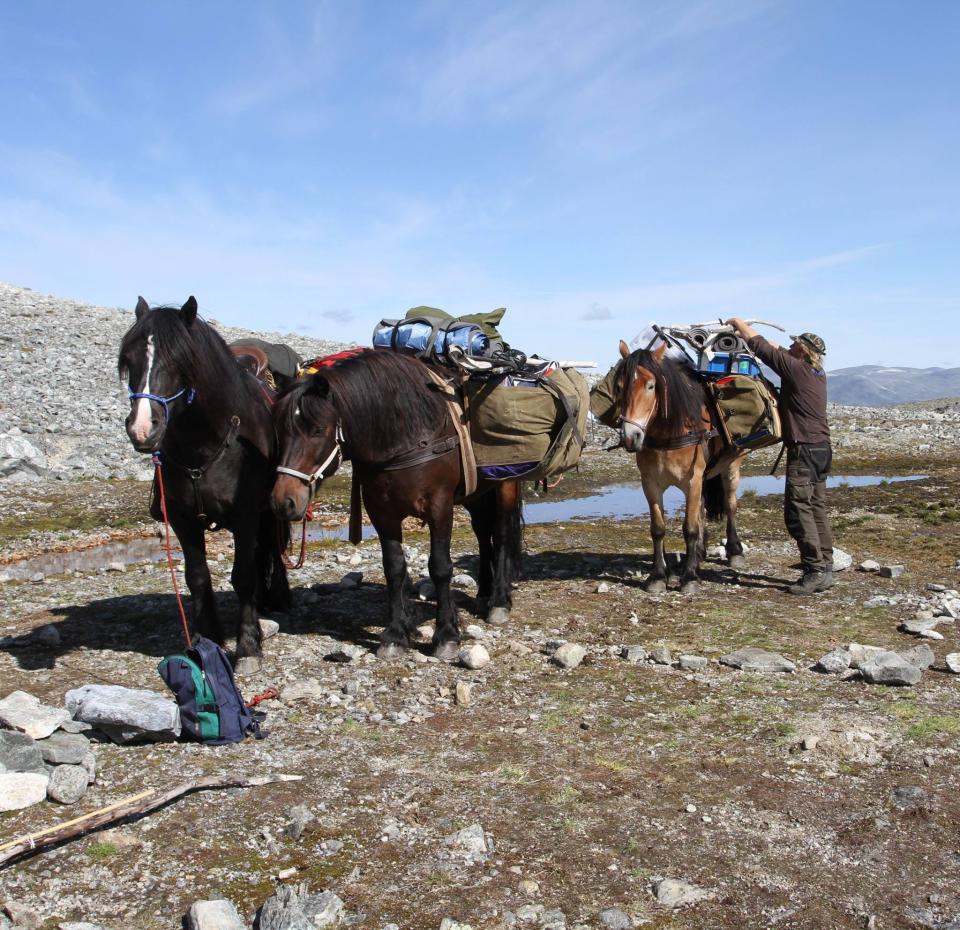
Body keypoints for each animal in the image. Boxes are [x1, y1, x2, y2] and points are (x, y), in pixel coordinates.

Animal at [117, 296, 288, 668]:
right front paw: (208, 637)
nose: (142, 429)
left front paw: (248, 646)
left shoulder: (245, 516)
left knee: (270, 545)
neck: (204, 447)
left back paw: (278, 596)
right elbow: (197, 577)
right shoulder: (182, 520)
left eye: (181, 361)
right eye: (130, 360)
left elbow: (243, 575)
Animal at [270, 348, 524, 660]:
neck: (406, 437)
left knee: (501, 534)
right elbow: (394, 568)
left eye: (318, 430)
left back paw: (499, 601)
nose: (284, 502)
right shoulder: (381, 512)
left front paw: (446, 635)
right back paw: (485, 592)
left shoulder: (440, 506)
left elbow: (440, 566)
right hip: (475, 495)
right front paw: (395, 634)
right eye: (279, 430)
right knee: (482, 532)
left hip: (505, 485)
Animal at [608, 340, 752, 596]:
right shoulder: (650, 484)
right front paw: (658, 576)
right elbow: (658, 528)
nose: (630, 436)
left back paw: (734, 551)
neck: (668, 434)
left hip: (731, 468)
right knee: (702, 509)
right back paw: (698, 555)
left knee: (730, 505)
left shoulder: (692, 481)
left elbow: (690, 528)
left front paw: (690, 578)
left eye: (651, 385)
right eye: (619, 386)